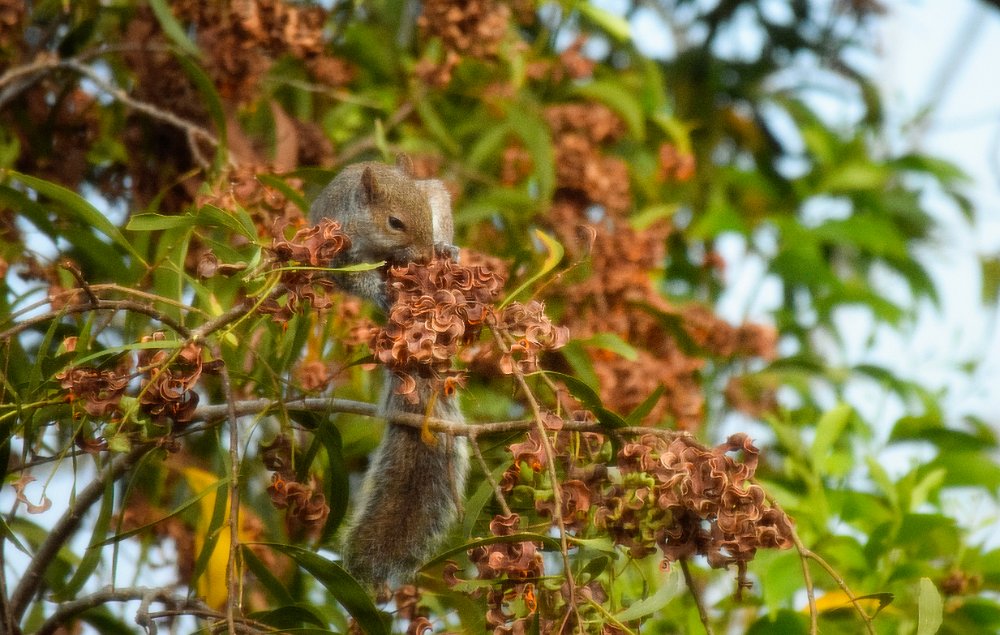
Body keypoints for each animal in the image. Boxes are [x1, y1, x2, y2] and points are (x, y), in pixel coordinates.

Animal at [310, 161, 469, 587]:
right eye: (395, 222)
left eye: (423, 214)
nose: (425, 254)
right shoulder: (339, 255)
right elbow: (355, 279)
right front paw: (381, 291)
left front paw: (443, 248)